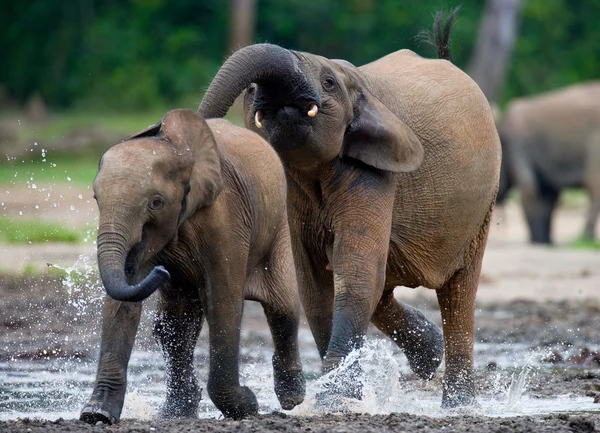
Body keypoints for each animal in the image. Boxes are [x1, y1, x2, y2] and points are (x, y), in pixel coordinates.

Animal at [79, 108, 304, 422]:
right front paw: (96, 414)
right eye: (96, 199)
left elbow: (222, 301)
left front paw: (248, 406)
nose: (161, 271)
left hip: (278, 225)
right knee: (174, 324)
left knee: (283, 306)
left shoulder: (226, 218)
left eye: (156, 203)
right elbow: (123, 304)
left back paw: (292, 399)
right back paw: (176, 412)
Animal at [198, 11, 502, 408]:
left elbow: (354, 274)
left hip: (483, 205)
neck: (356, 82)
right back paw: (428, 353)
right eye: (250, 91)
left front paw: (335, 397)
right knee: (383, 285)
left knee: (458, 290)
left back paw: (457, 402)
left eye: (328, 83)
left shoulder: (374, 171)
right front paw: (336, 392)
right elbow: (315, 285)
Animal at [494, 81, 600, 243]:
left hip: (594, 144)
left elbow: (530, 189)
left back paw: (586, 237)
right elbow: (548, 195)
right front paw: (546, 241)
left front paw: (538, 241)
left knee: (594, 187)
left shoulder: (518, 147)